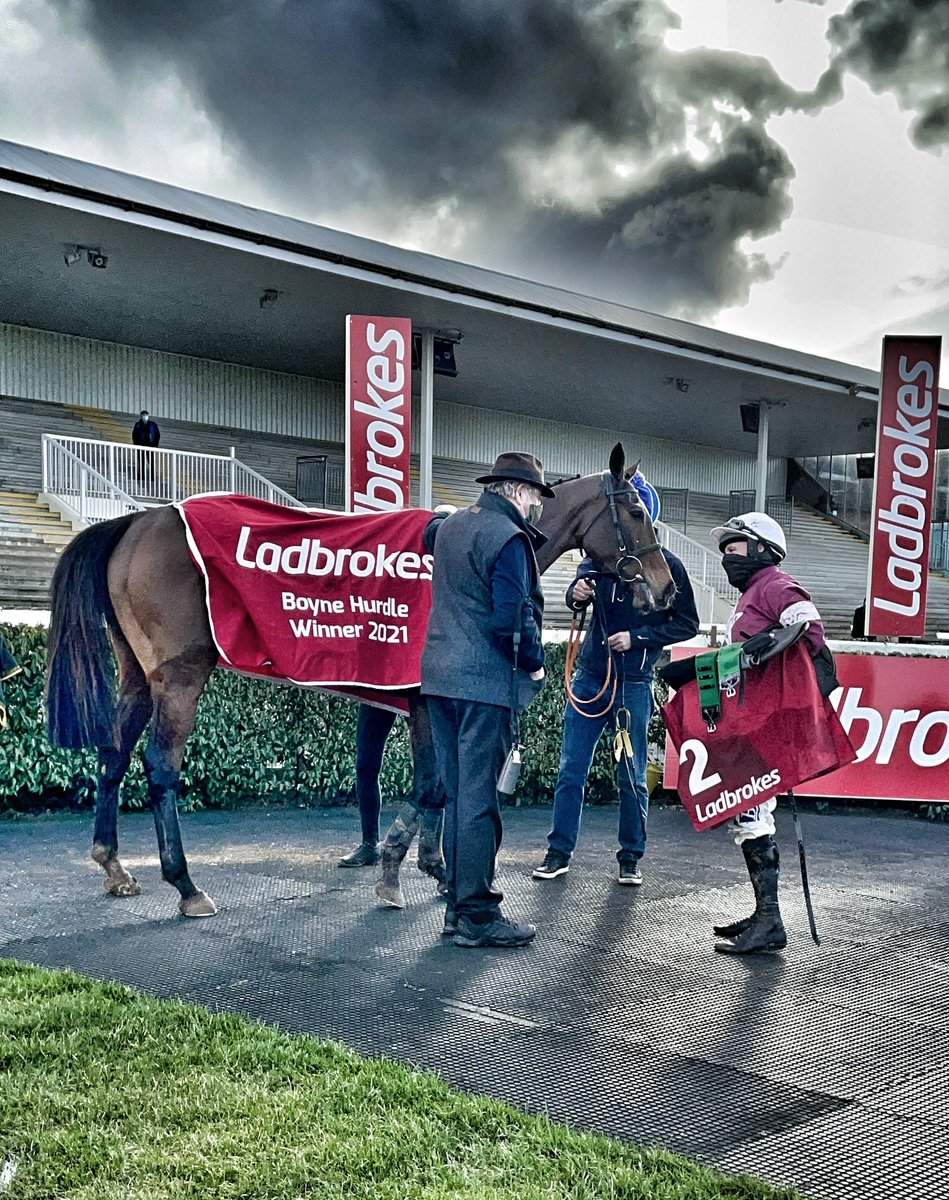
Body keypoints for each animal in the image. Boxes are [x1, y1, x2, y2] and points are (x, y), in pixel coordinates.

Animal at [46, 441, 676, 916]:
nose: (666, 589)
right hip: (179, 677)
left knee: (113, 754)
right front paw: (399, 871)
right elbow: (433, 787)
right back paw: (185, 884)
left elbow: (439, 786)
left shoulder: (428, 705)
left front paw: (435, 868)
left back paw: (114, 865)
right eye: (637, 512)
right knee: (160, 769)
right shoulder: (427, 702)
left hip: (135, 674)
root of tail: (137, 520)